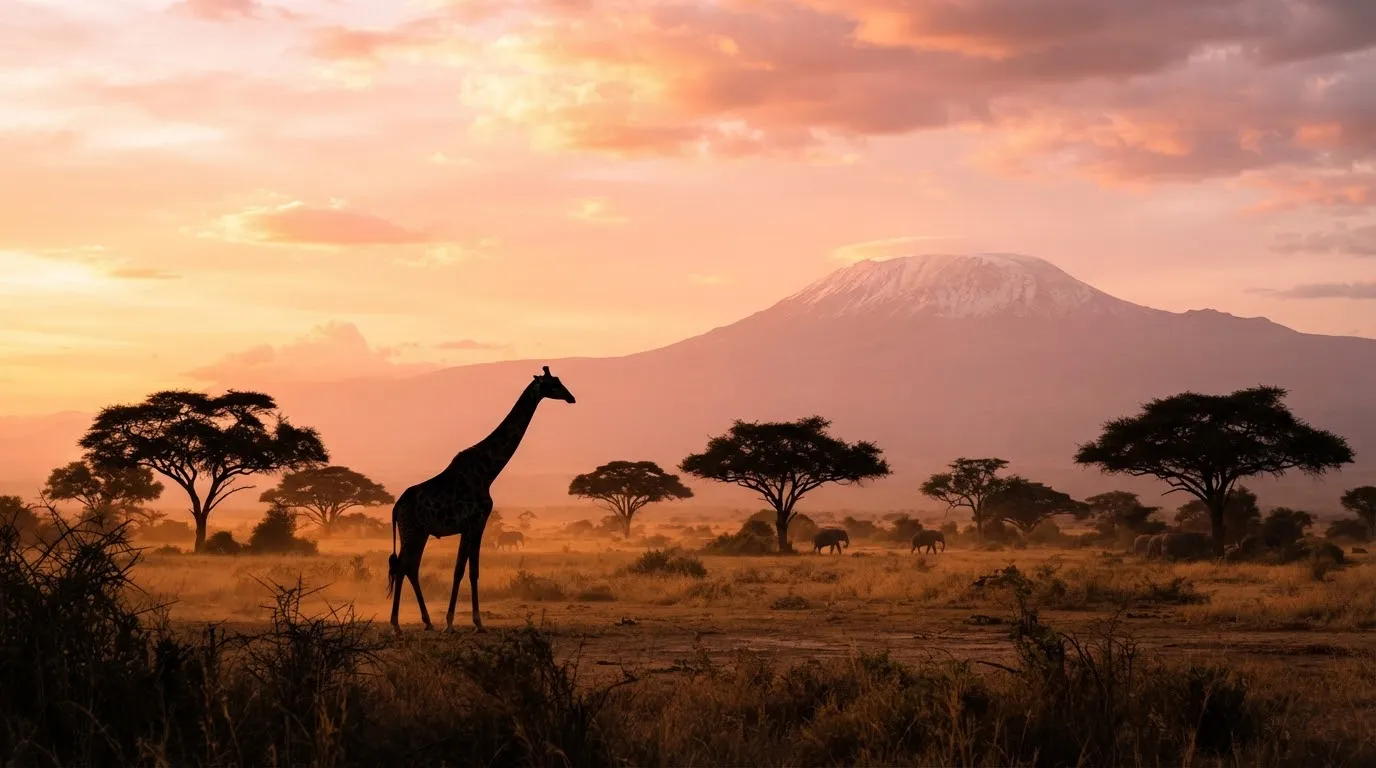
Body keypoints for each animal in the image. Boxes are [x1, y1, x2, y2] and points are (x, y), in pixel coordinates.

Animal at [386, 366, 575, 633]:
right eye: (553, 383)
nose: (571, 397)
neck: (489, 472)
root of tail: (396, 508)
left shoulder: (467, 526)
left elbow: (460, 570)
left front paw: (451, 622)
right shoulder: (478, 521)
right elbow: (471, 571)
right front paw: (473, 622)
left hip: (416, 533)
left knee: (409, 567)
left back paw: (427, 622)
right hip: (413, 531)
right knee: (403, 567)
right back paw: (396, 625)